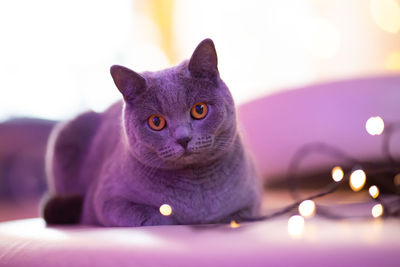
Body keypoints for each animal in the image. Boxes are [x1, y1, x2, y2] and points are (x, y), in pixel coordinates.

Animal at [43, 38, 262, 227]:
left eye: (199, 110)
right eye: (156, 122)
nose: (183, 139)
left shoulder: (252, 202)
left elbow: (237, 214)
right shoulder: (105, 201)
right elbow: (149, 215)